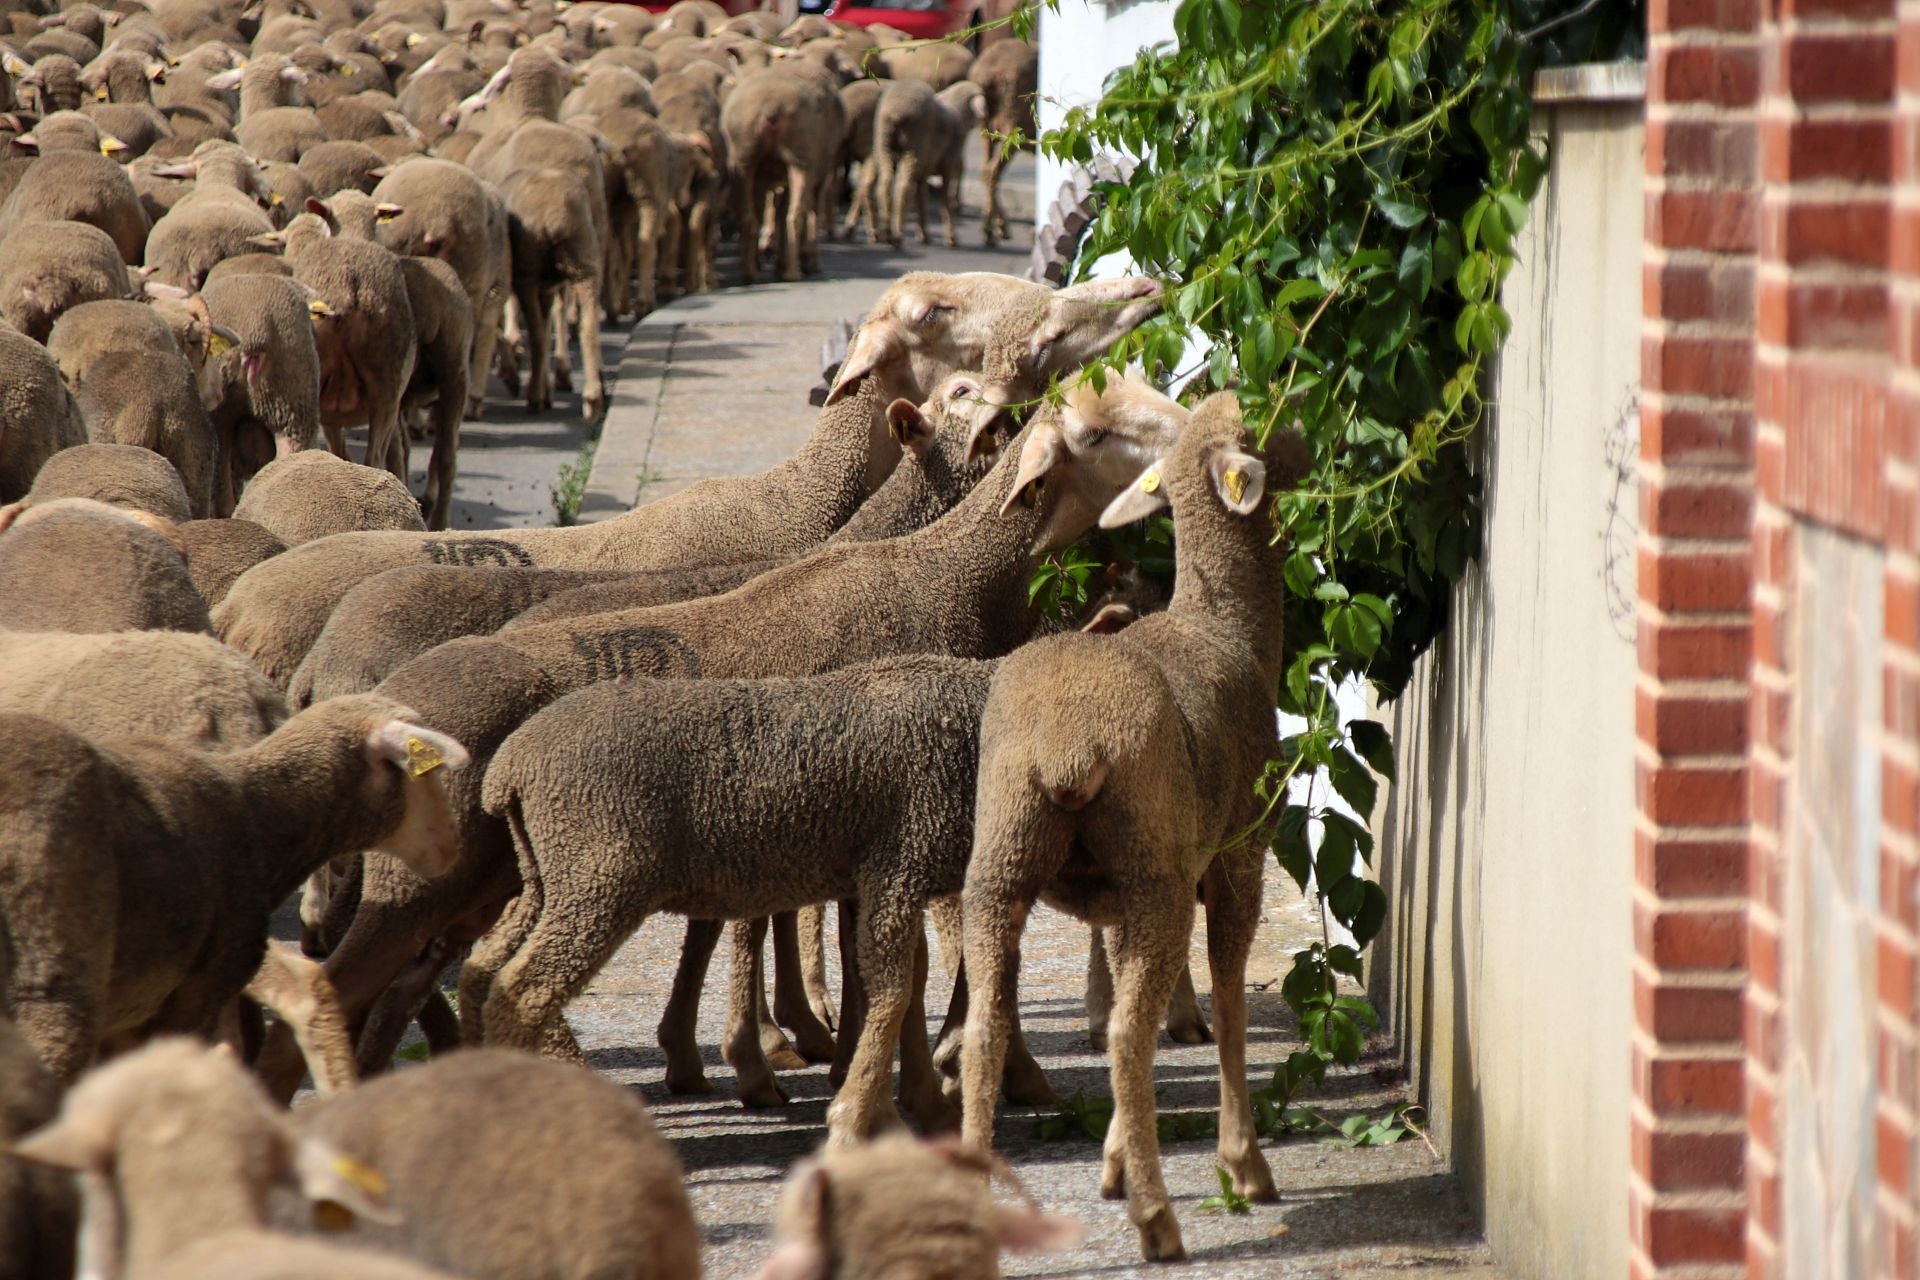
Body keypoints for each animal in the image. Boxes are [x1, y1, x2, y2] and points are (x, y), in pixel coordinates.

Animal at [872, 77, 983, 249]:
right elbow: (946, 200)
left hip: (884, 142)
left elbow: (921, 199)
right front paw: (951, 237)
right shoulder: (948, 164)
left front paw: (923, 234)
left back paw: (888, 233)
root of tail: (896, 111)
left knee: (885, 183)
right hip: (914, 145)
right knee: (904, 187)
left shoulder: (923, 172)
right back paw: (897, 236)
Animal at [959, 395, 1311, 1262]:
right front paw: (1242, 1163)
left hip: (1004, 862)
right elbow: (1226, 995)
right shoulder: (1237, 853)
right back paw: (1159, 1221)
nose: (1309, 439)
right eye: (1258, 427)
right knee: (1125, 1033)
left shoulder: (1117, 899)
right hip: (1156, 877)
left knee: (987, 1030)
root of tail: (1066, 749)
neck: (1224, 625)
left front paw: (1118, 1155)